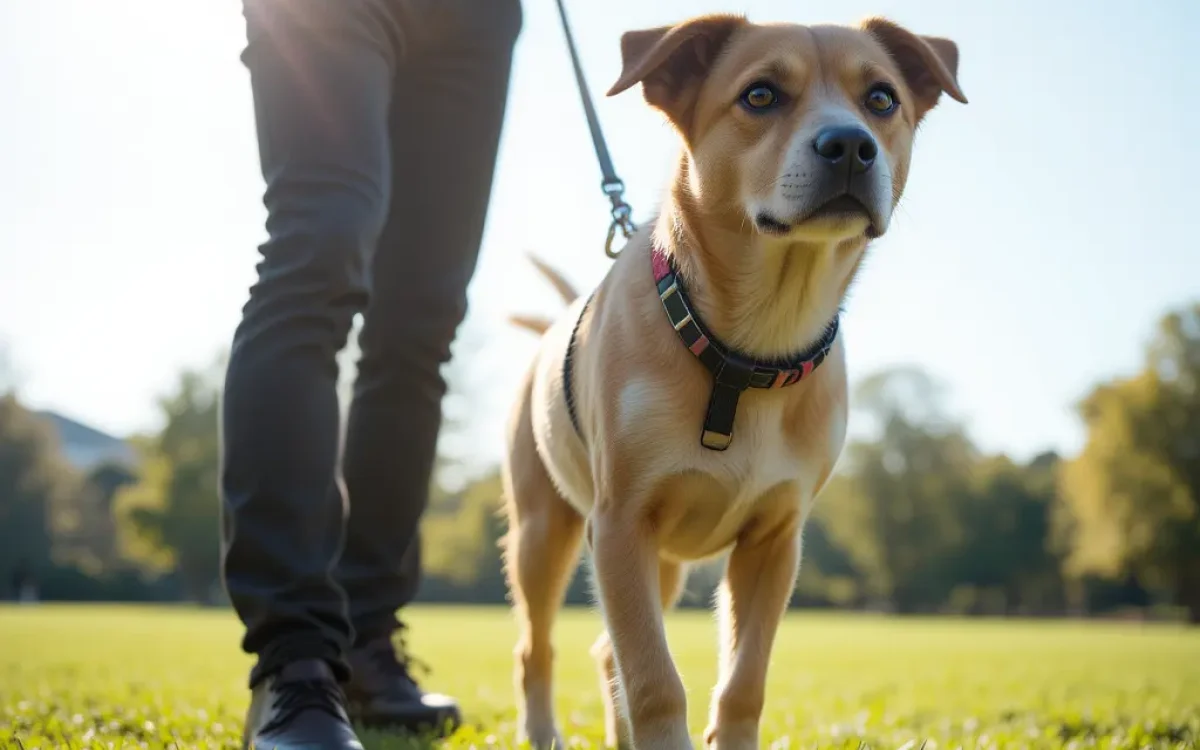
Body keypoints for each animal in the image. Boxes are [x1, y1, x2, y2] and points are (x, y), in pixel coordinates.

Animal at [501, 13, 960, 748]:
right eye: (760, 94)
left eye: (882, 99)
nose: (850, 145)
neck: (750, 352)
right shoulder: (621, 524)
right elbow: (655, 681)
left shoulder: (773, 541)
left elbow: (743, 683)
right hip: (545, 532)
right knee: (538, 648)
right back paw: (543, 732)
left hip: (658, 562)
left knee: (605, 652)